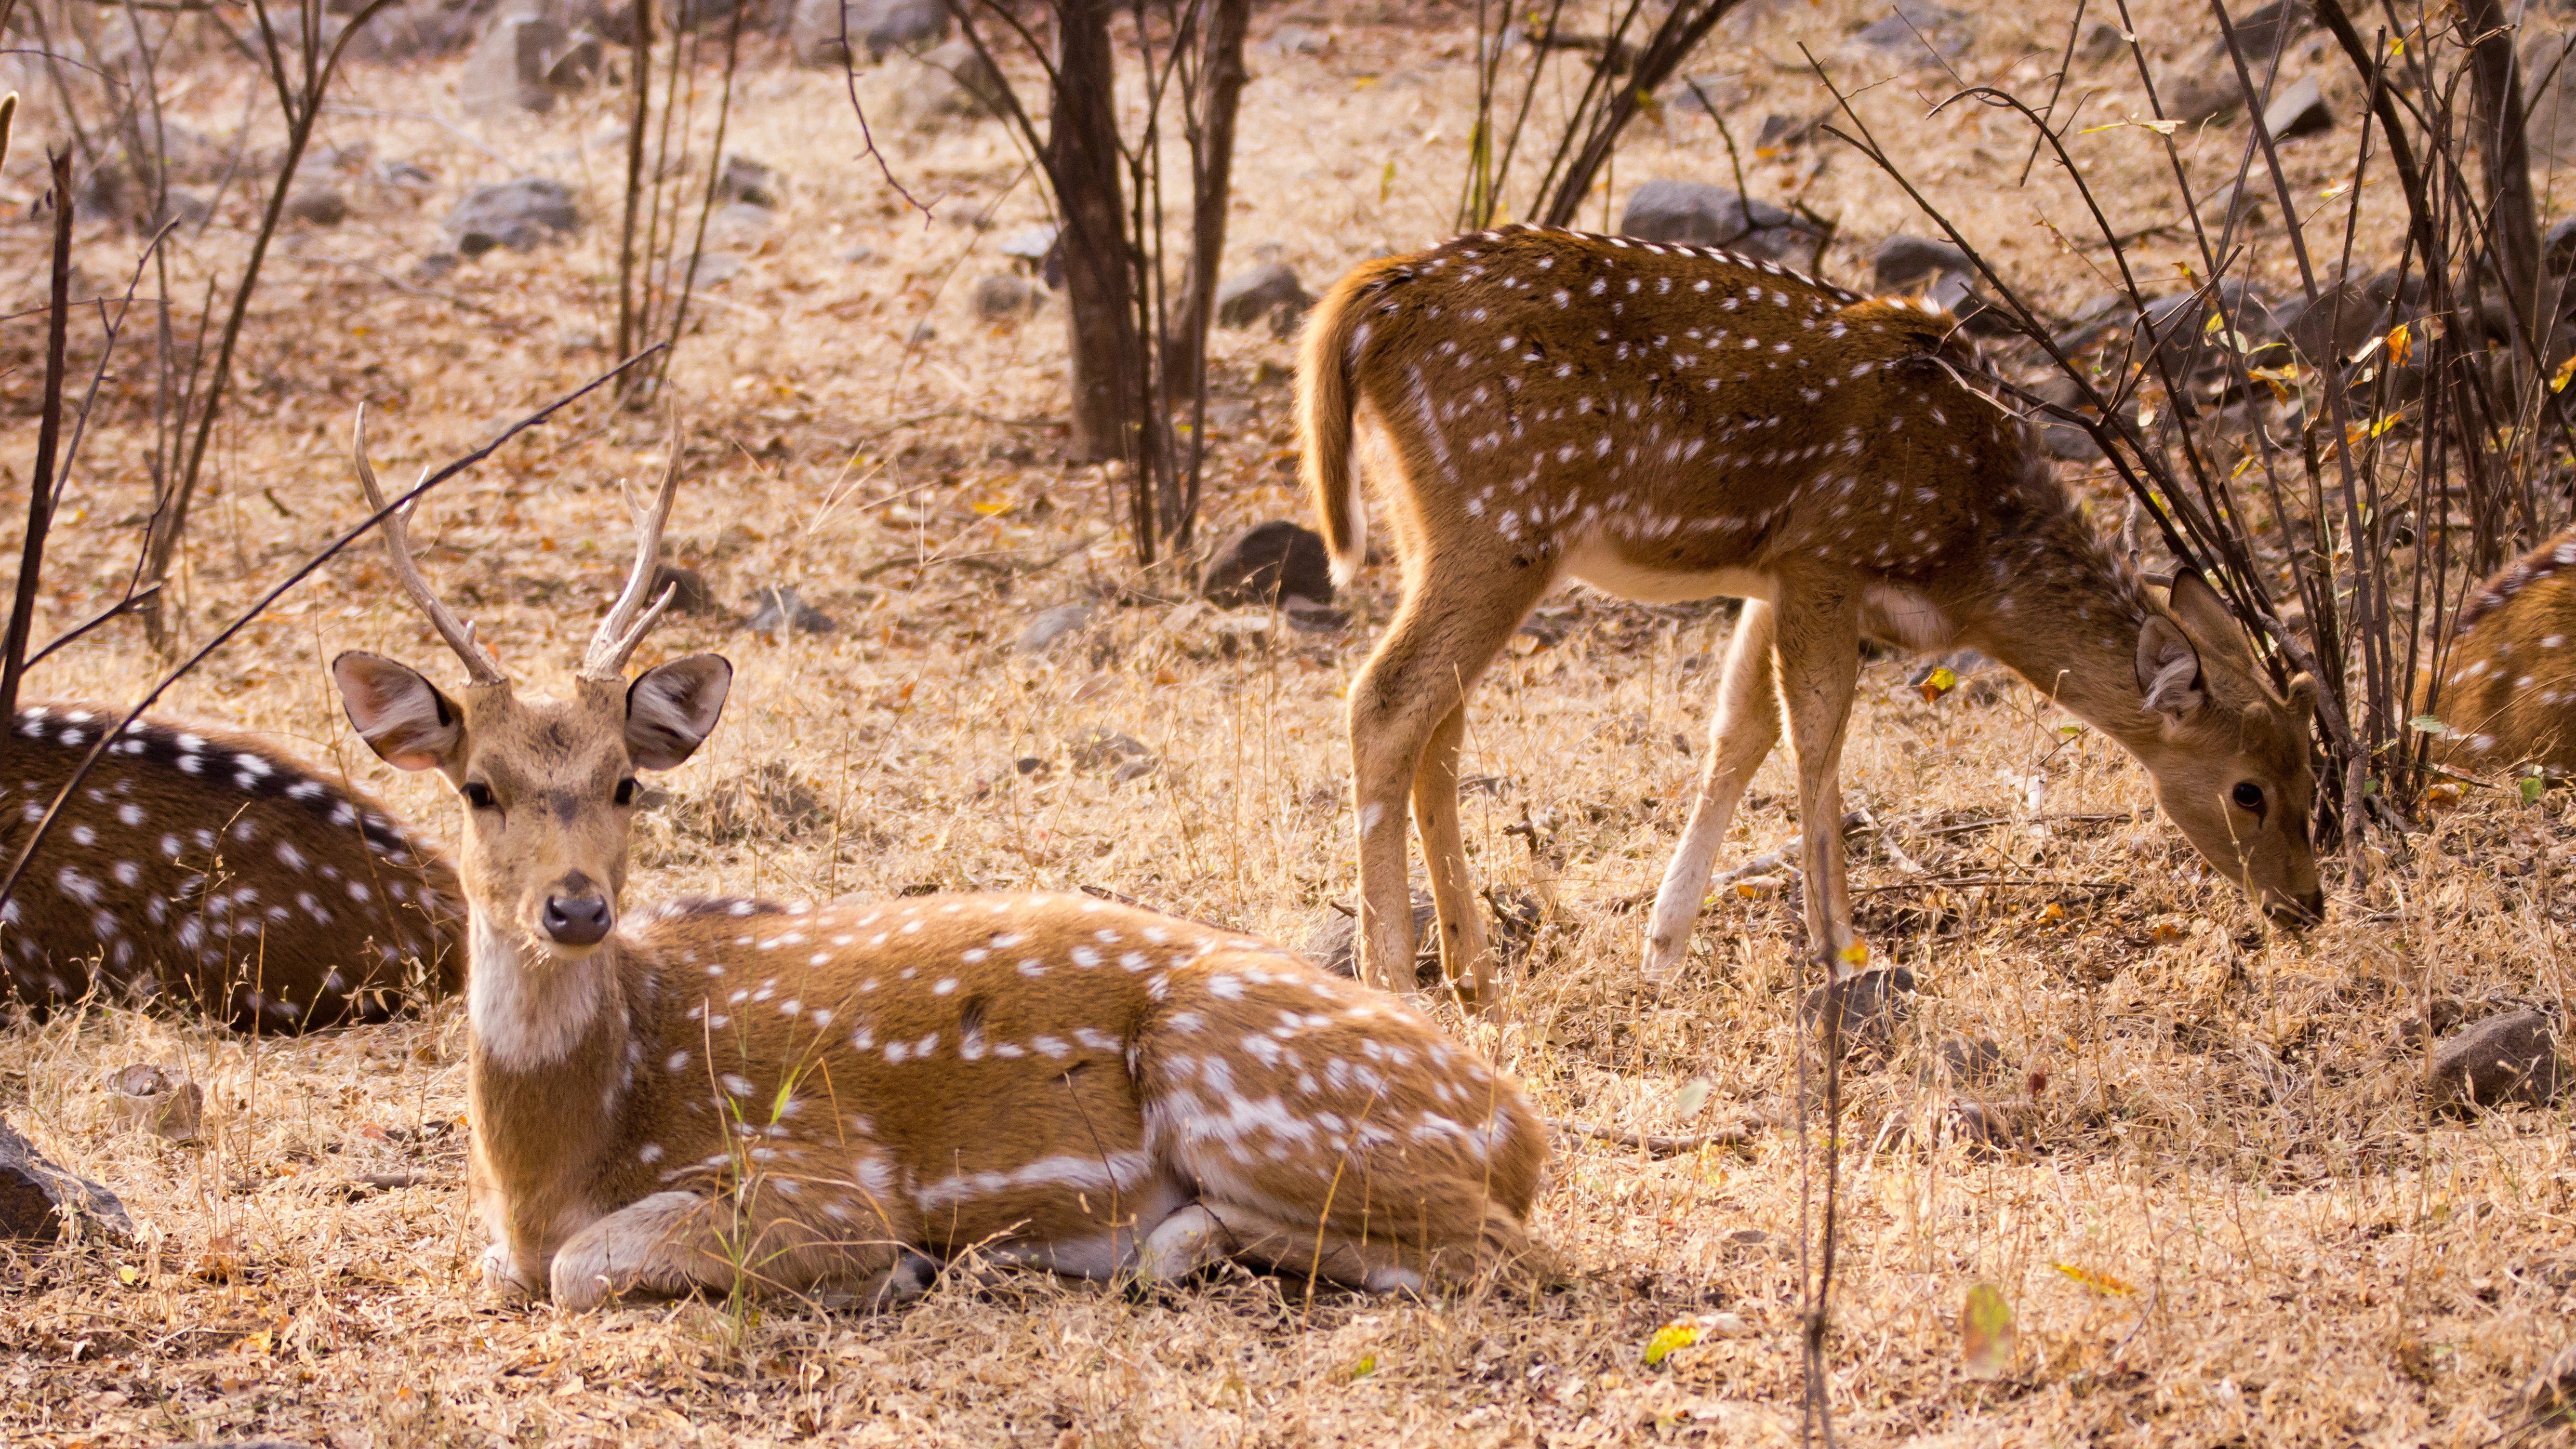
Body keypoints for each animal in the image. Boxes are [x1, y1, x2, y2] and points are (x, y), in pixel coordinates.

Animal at [326, 416, 1547, 1310]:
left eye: (628, 779)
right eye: (477, 786)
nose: (574, 906)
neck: (553, 1166)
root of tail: (1518, 1131)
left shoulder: (815, 1177)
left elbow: (587, 1268)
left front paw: (893, 1268)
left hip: (1244, 1085)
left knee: (1496, 1249)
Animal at [1296, 223, 2325, 1012]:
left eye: (2308, 769)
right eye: (2247, 790)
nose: (2305, 904)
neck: (1972, 551)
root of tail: (1370, 300)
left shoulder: (1774, 575)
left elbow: (1741, 730)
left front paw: (1662, 949)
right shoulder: (1826, 552)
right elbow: (1818, 735)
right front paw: (1843, 953)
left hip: (1434, 525)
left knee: (1438, 720)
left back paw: (1472, 970)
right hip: (1498, 518)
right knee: (1384, 698)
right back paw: (1394, 979)